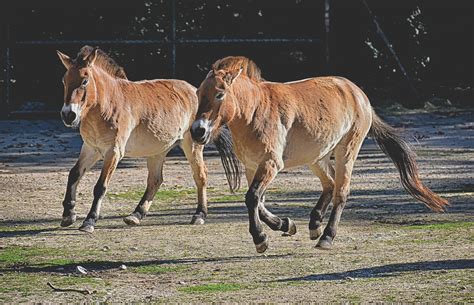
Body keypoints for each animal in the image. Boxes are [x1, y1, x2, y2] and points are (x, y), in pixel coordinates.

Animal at [56, 44, 211, 230]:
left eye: (84, 80)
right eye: (64, 80)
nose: (68, 115)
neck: (107, 104)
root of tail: (194, 90)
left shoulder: (113, 152)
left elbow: (100, 186)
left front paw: (89, 221)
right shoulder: (91, 148)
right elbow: (74, 174)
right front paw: (68, 214)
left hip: (192, 145)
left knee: (200, 175)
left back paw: (199, 215)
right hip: (157, 150)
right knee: (155, 180)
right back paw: (136, 215)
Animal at [191, 56, 450, 252]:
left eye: (220, 94)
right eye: (199, 93)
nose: (197, 131)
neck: (254, 111)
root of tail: (359, 95)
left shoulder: (270, 164)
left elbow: (252, 198)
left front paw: (261, 239)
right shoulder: (252, 166)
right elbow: (258, 202)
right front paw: (285, 225)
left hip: (346, 150)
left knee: (341, 191)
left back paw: (326, 236)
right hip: (317, 156)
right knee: (330, 183)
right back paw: (314, 224)